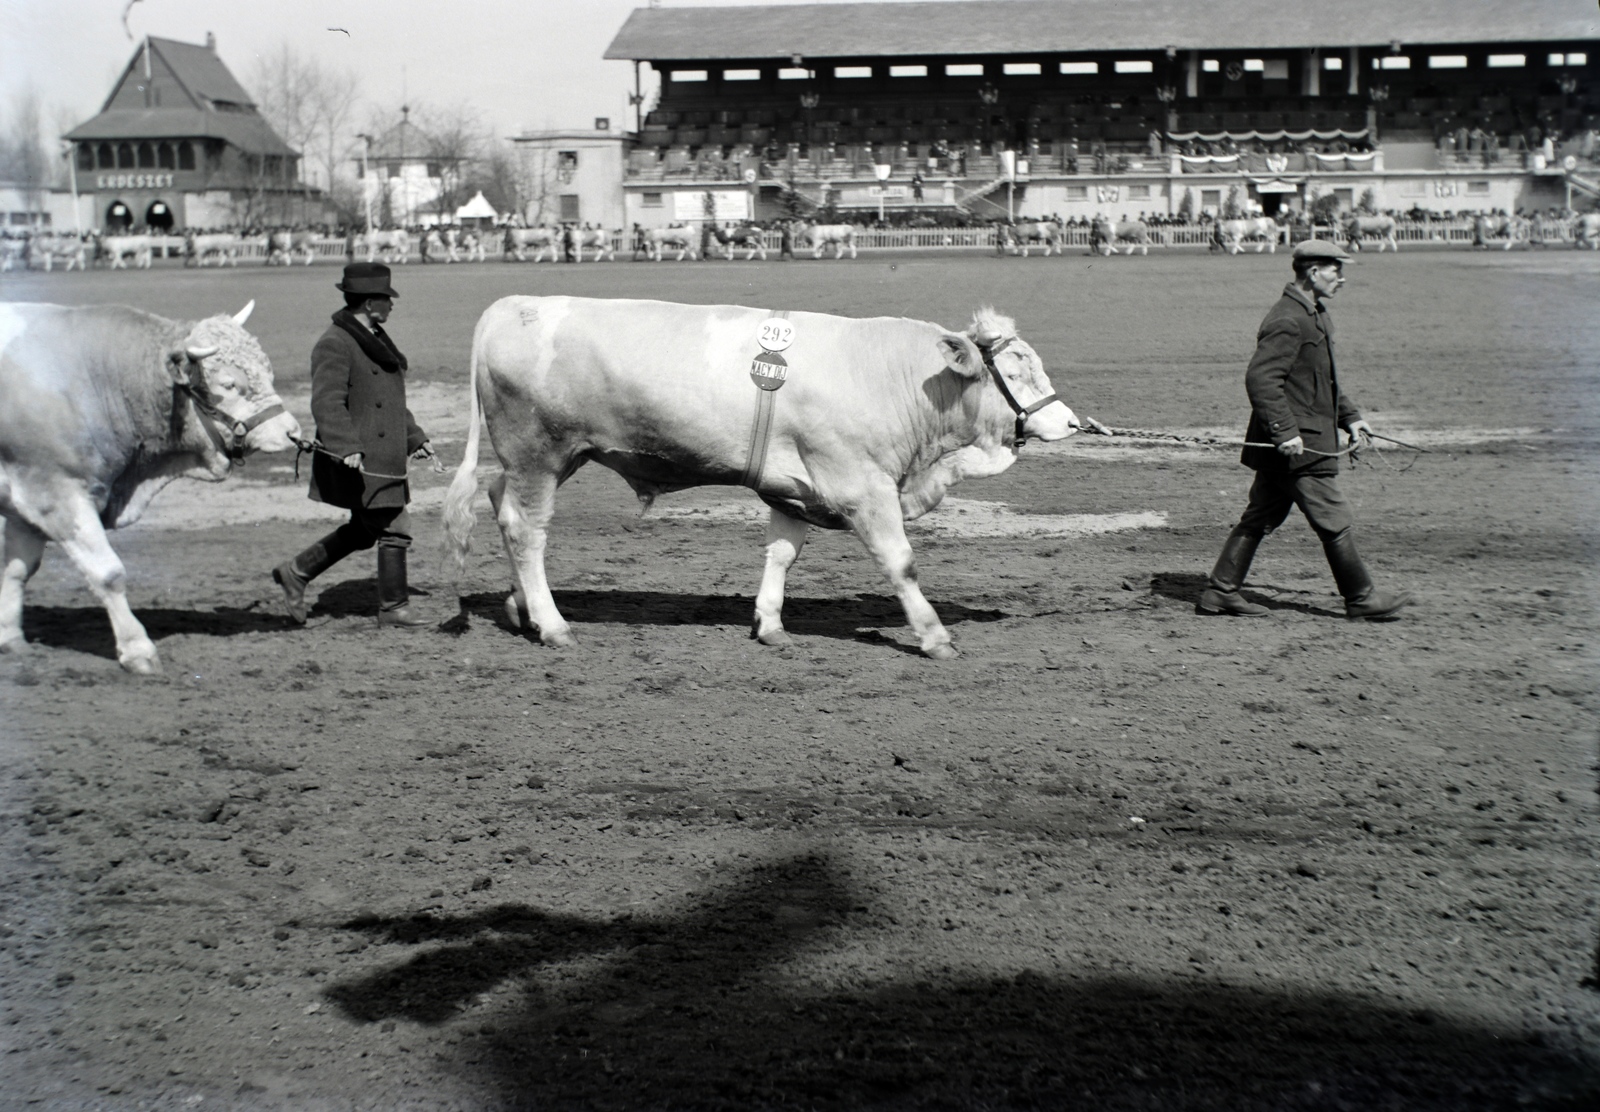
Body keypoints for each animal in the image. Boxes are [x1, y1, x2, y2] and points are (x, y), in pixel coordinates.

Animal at [0, 300, 302, 675]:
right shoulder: (55, 494)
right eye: (230, 384)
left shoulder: (24, 507)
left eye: (267, 372)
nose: (292, 431)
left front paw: (9, 637)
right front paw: (137, 649)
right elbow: (108, 574)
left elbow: (17, 570)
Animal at [444, 297, 1081, 662]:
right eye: (1017, 369)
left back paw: (520, 608)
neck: (885, 376)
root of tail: (512, 304)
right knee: (526, 529)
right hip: (539, 451)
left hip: (545, 458)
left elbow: (781, 554)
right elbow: (901, 563)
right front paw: (934, 635)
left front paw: (770, 624)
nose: (1071, 421)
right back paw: (553, 625)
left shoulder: (794, 488)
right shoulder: (860, 485)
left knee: (502, 506)